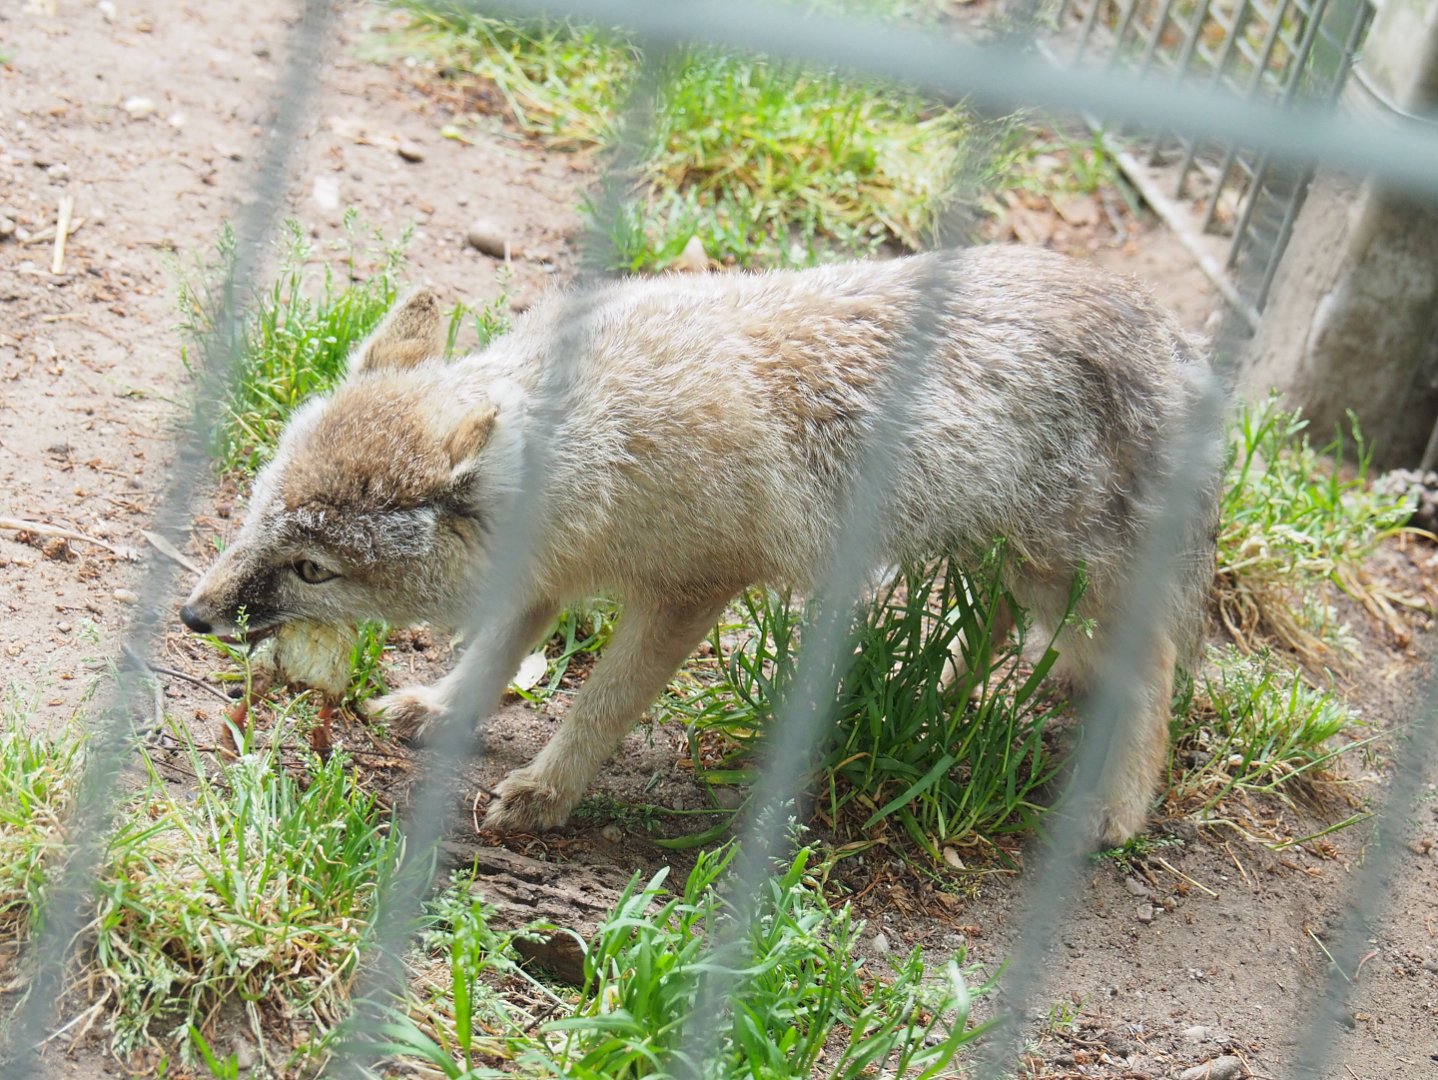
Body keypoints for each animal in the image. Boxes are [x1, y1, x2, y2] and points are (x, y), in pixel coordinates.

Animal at [180, 245, 1222, 845]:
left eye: (313, 569)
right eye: (258, 511)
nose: (192, 614)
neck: (608, 442)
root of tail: (1179, 340)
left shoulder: (690, 592)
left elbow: (601, 705)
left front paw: (549, 792)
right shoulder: (542, 578)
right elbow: (492, 660)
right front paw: (442, 707)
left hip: (1062, 586)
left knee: (1156, 669)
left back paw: (1117, 809)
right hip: (1000, 562)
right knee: (1003, 630)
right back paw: (950, 693)